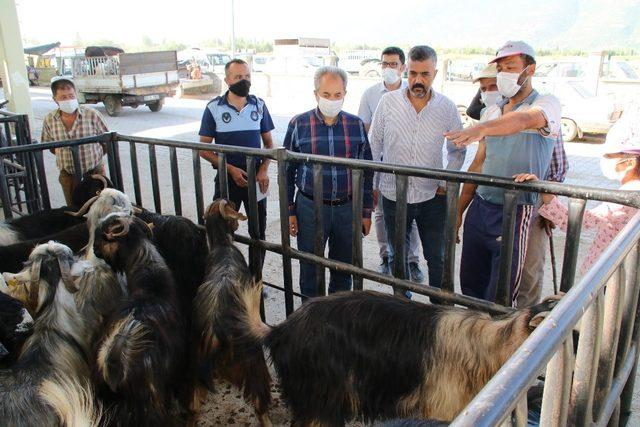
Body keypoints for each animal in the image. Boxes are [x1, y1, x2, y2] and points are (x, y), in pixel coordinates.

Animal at [189, 201, 272, 427]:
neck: (222, 245)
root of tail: (214, 334)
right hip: (253, 363)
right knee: (260, 401)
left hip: (196, 368)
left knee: (192, 405)